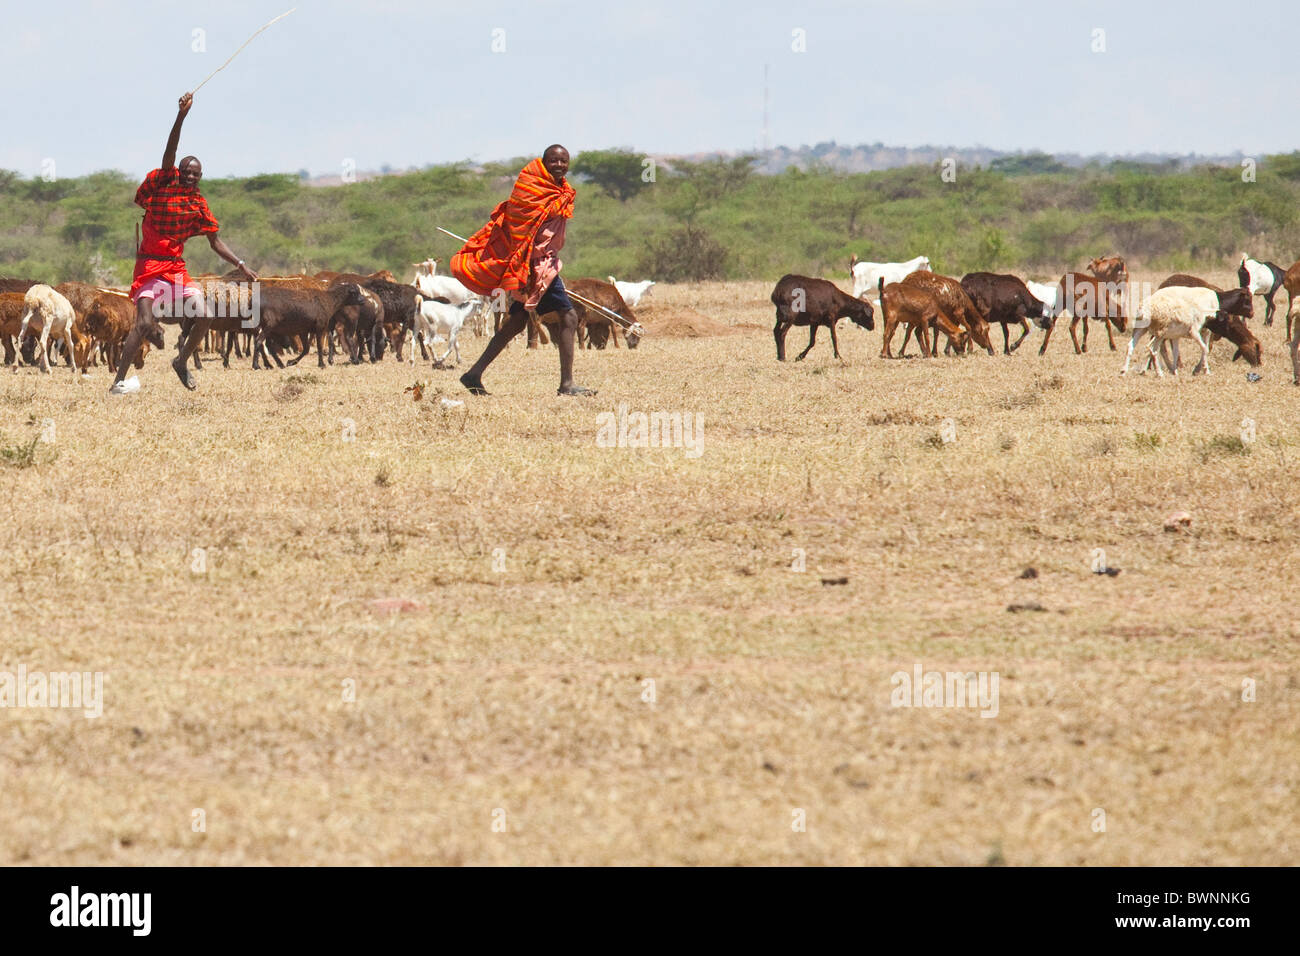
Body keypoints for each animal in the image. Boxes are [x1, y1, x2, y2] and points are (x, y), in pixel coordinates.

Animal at [1118, 286, 1258, 374]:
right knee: (1154, 348)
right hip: (1159, 332)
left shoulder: (1178, 334)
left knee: (1133, 346)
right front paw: (1202, 369)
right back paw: (1152, 370)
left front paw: (1177, 370)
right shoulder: (1203, 331)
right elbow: (1206, 348)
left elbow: (1178, 351)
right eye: (1247, 299)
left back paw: (1127, 370)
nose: (1252, 314)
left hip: (1142, 329)